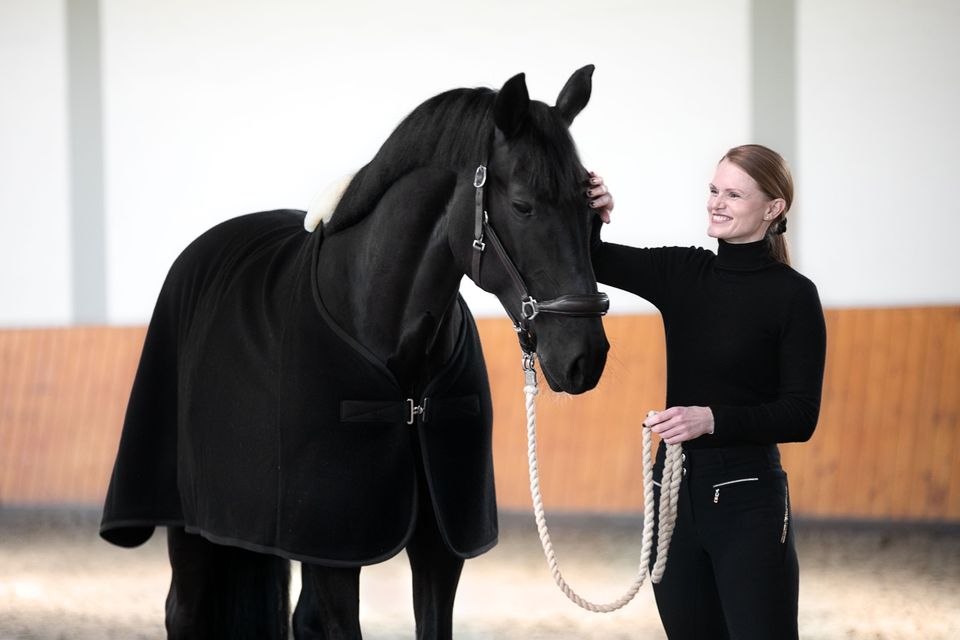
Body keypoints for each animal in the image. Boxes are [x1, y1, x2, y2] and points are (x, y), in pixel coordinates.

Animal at [103, 67, 608, 636]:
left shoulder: (437, 547)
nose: (586, 357)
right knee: (184, 611)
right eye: (523, 206)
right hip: (188, 525)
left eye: (592, 209)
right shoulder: (336, 551)